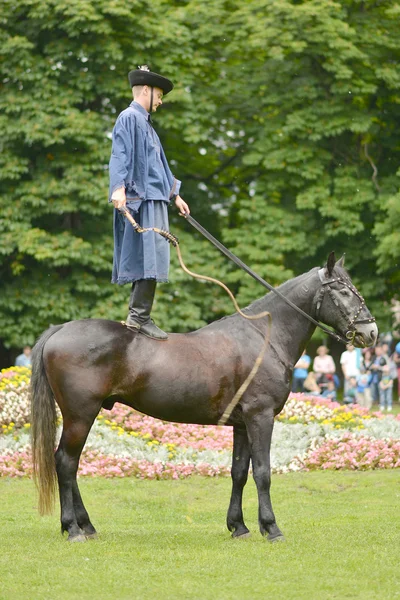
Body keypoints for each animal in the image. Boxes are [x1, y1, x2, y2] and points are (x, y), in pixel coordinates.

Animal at [31, 251, 378, 540]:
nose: (370, 332)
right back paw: (73, 529)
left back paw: (85, 526)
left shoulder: (242, 424)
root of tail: (59, 330)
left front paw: (239, 526)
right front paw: (271, 527)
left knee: (71, 464)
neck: (264, 337)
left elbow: (239, 473)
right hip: (80, 414)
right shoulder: (261, 416)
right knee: (66, 463)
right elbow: (263, 472)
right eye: (344, 291)